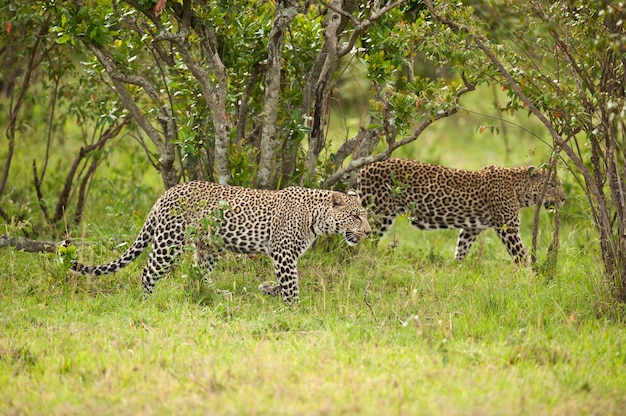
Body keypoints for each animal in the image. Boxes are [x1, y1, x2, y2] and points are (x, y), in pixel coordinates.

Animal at [72, 181, 370, 302]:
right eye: (356, 216)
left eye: (365, 216)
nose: (368, 232)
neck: (317, 218)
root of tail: (166, 193)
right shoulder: (283, 253)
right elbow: (292, 284)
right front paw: (295, 307)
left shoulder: (287, 256)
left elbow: (286, 281)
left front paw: (267, 289)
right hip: (170, 241)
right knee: (148, 271)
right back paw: (147, 301)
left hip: (209, 247)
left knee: (201, 275)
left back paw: (216, 295)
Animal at [356, 159, 564, 264]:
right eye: (552, 185)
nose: (564, 199)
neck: (520, 190)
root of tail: (363, 167)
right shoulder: (508, 228)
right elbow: (521, 255)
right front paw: (531, 277)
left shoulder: (472, 228)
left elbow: (461, 248)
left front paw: (456, 269)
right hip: (378, 213)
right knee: (366, 240)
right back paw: (366, 259)